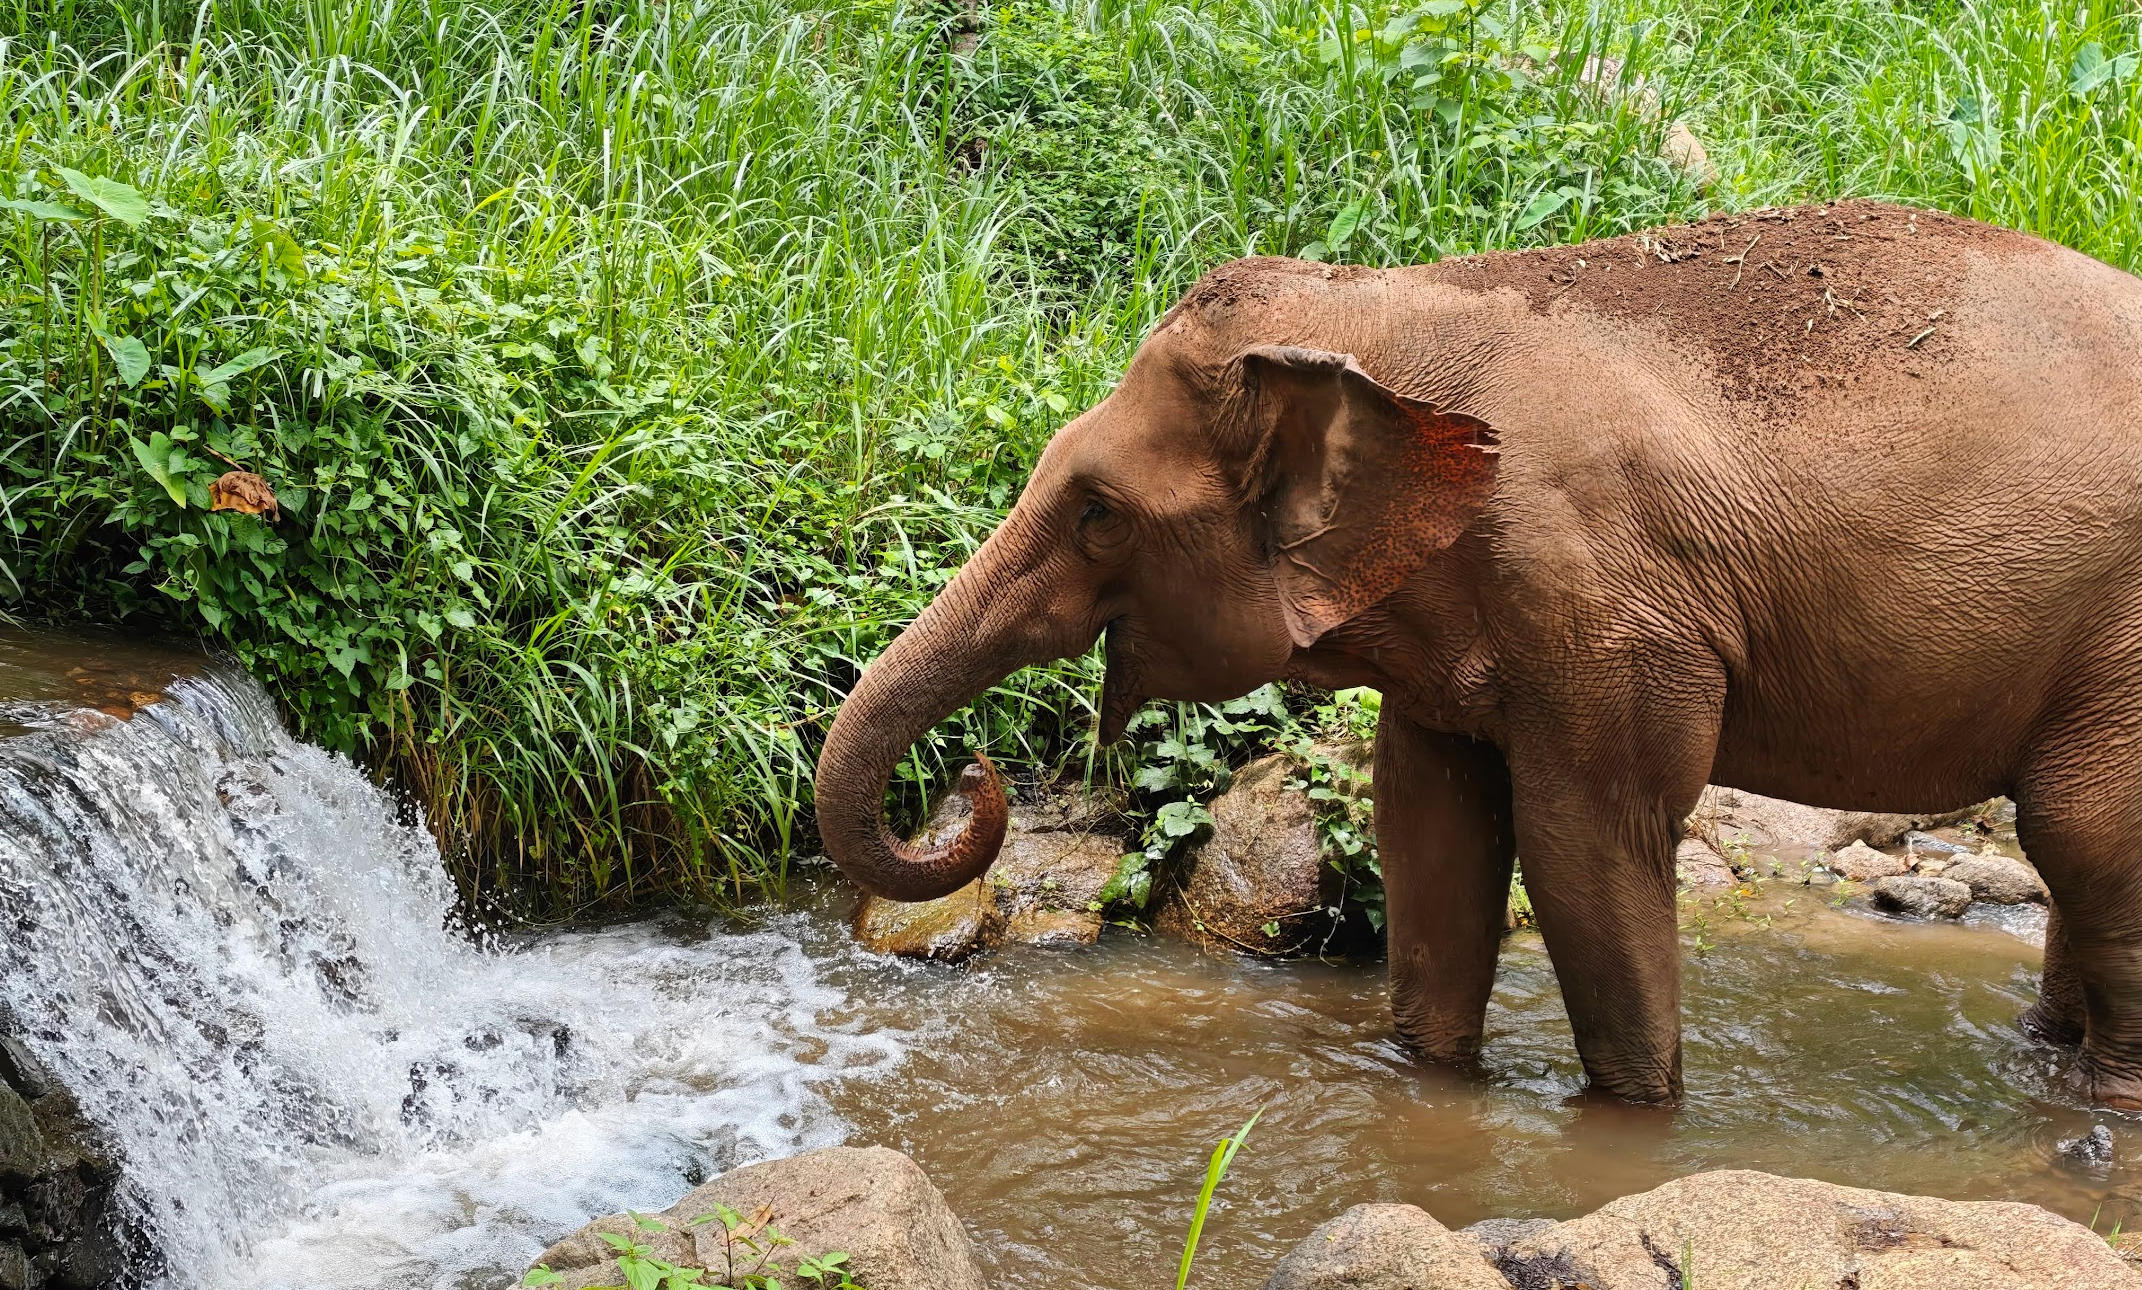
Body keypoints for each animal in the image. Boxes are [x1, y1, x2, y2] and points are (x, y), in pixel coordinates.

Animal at [813, 198, 2142, 1107]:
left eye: (1096, 512)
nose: (970, 776)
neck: (1389, 310)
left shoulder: (1606, 603)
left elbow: (1582, 843)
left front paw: (1636, 1120)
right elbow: (1430, 825)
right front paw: (1424, 1083)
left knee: (2083, 832)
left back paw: (2098, 1106)